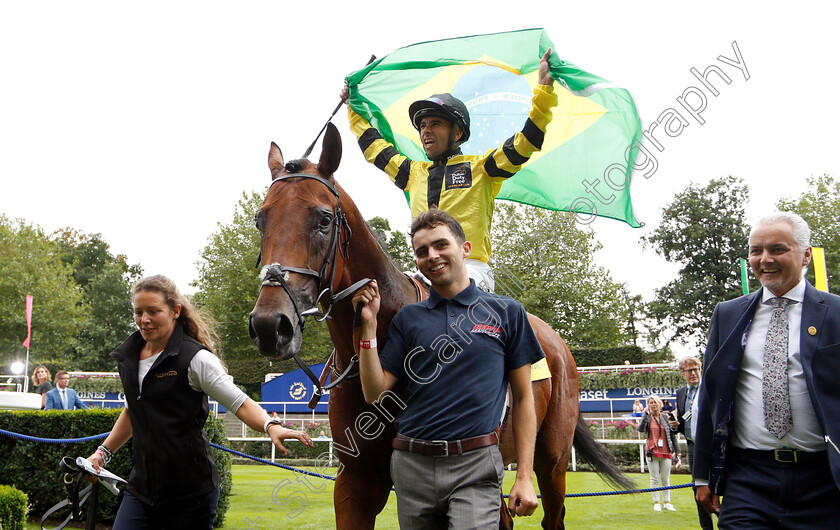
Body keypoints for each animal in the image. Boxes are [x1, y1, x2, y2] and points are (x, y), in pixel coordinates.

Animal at [249, 121, 632, 524]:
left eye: (323, 219)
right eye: (260, 219)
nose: (270, 325)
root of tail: (556, 342)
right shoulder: (356, 479)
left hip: (552, 459)